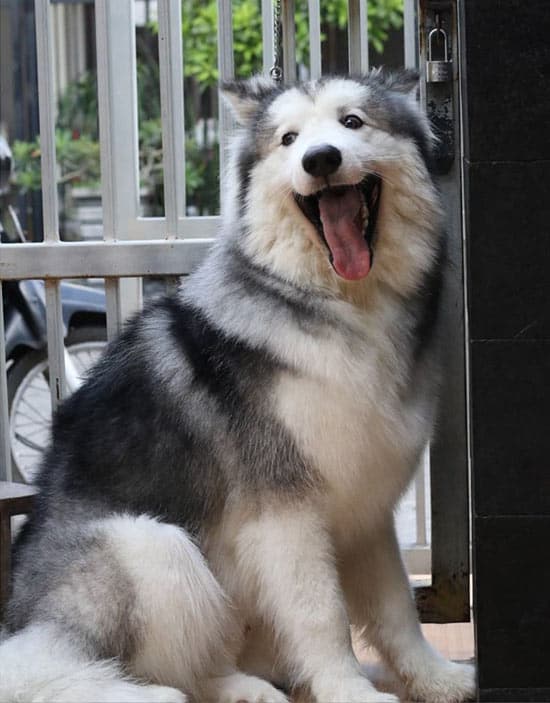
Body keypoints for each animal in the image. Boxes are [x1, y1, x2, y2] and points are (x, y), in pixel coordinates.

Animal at [0, 73, 474, 703]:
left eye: (352, 122)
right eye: (289, 139)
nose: (320, 159)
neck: (339, 307)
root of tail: (26, 623)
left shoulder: (369, 511)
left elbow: (397, 608)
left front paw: (434, 677)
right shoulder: (285, 515)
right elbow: (322, 615)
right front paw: (348, 690)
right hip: (150, 547)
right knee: (146, 670)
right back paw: (197, 691)